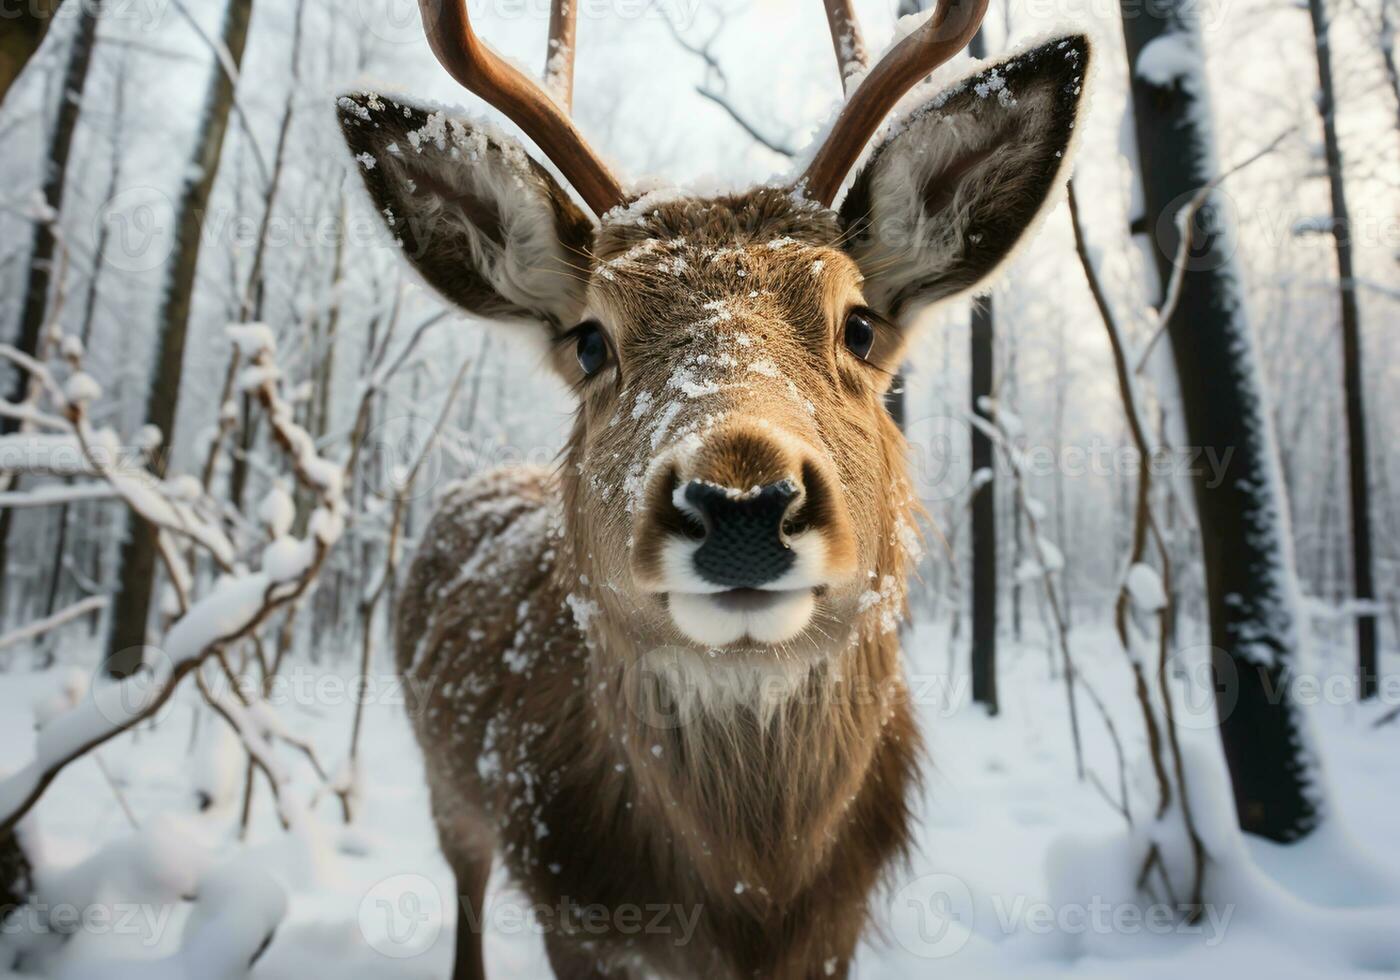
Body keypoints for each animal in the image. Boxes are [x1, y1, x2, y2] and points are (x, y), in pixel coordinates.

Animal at [336, 0, 1092, 974]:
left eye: (858, 326)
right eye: (591, 341)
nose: (741, 504)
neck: (752, 901)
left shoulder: (837, 926)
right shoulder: (570, 903)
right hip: (445, 778)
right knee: (465, 890)